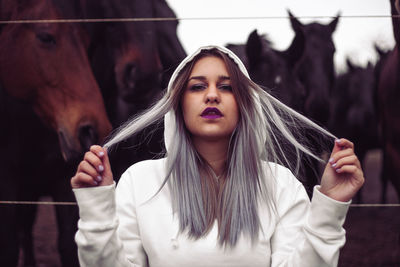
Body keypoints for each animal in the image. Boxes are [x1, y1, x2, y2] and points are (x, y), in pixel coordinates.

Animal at [0, 0, 112, 266]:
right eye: (46, 36)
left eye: (87, 42)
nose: (93, 131)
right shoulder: (6, 179)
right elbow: (9, 247)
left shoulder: (63, 179)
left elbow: (68, 246)